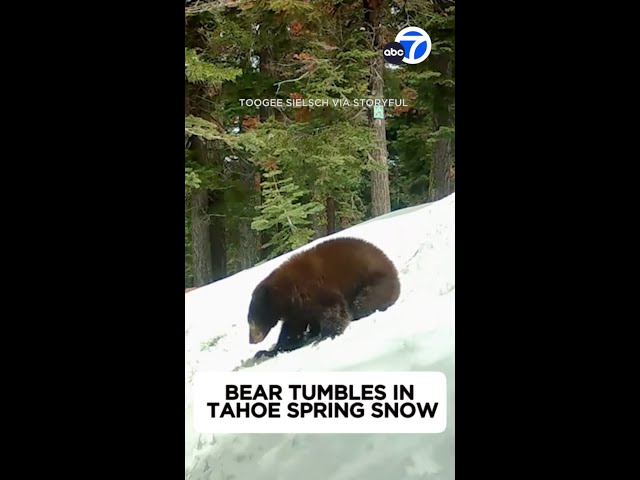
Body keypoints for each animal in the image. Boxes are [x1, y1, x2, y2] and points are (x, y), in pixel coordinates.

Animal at [246, 236, 400, 356]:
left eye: (251, 321)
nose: (251, 340)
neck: (285, 294)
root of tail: (392, 266)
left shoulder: (312, 289)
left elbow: (332, 307)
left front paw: (327, 335)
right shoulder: (296, 310)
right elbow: (292, 330)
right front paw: (267, 352)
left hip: (376, 282)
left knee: (363, 301)